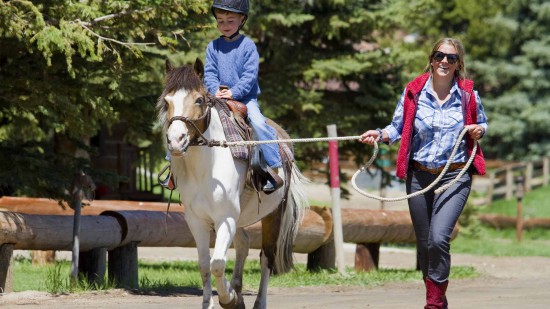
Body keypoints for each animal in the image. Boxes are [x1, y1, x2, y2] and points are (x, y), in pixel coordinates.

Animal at [156, 58, 310, 308]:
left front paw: (229, 299)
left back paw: (258, 302)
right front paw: (214, 301)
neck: (206, 169)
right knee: (244, 244)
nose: (176, 141)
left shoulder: (225, 218)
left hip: (274, 214)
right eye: (167, 101)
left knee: (266, 257)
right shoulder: (197, 221)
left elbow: (217, 263)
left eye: (199, 100)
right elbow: (204, 265)